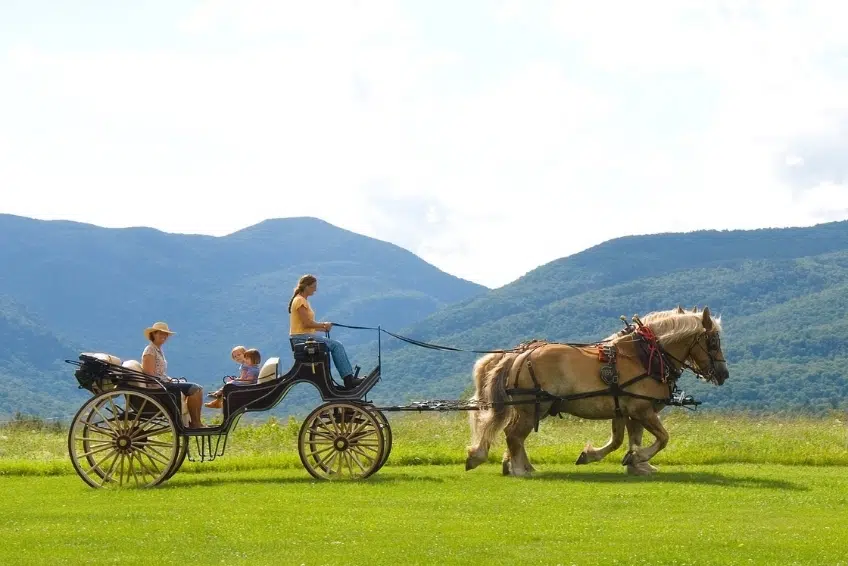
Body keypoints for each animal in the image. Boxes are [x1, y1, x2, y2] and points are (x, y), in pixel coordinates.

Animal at [464, 306, 728, 477]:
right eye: (713, 341)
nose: (723, 374)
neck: (644, 356)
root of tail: (520, 355)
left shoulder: (626, 410)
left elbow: (625, 439)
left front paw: (632, 463)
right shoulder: (642, 409)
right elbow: (662, 438)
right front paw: (639, 458)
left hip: (528, 408)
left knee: (514, 435)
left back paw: (518, 466)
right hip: (533, 408)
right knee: (513, 435)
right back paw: (521, 470)